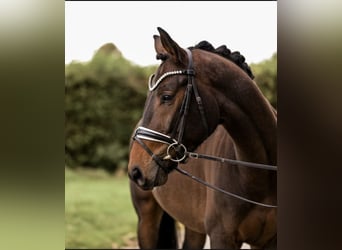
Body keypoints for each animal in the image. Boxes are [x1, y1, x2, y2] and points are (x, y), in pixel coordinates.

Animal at [127, 26, 276, 248]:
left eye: (166, 97)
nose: (136, 170)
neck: (258, 174)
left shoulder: (268, 241)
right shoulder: (221, 237)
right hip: (146, 219)